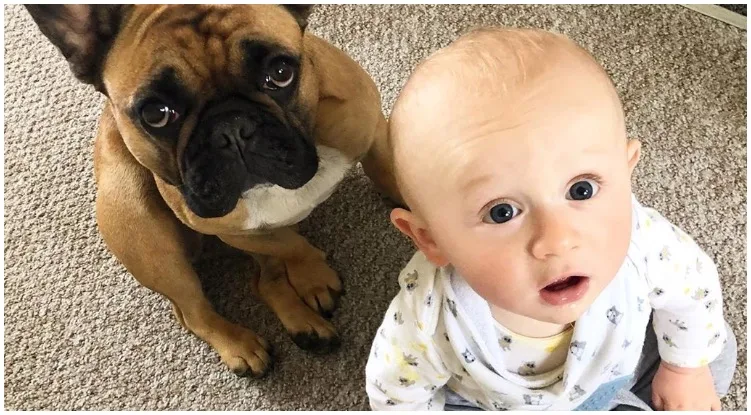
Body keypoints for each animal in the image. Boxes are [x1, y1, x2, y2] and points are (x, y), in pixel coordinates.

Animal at [23, 3, 402, 378]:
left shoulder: (372, 134)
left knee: (263, 280)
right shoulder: (227, 229)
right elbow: (292, 246)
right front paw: (313, 274)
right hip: (138, 222)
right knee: (192, 312)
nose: (231, 128)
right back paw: (241, 344)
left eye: (280, 73)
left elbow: (388, 173)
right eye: (156, 114)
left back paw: (304, 325)